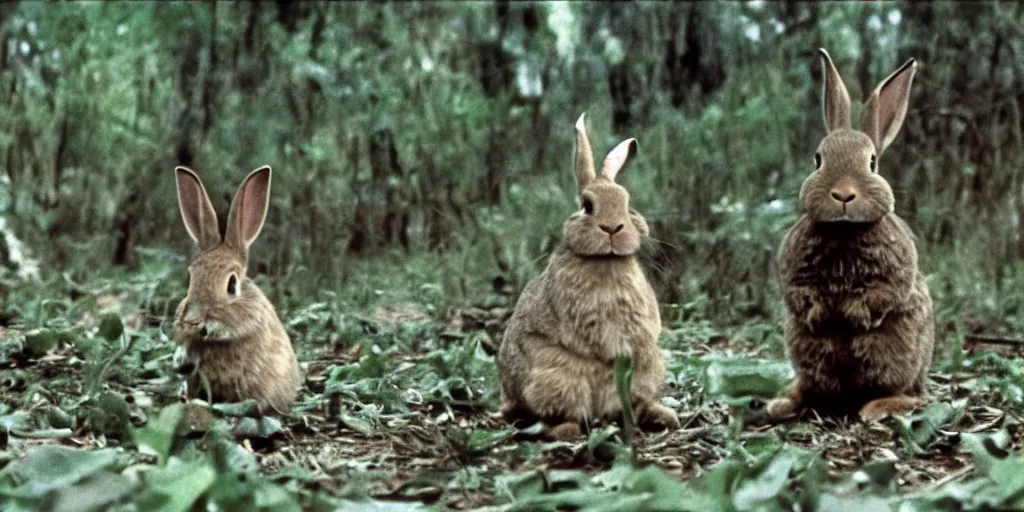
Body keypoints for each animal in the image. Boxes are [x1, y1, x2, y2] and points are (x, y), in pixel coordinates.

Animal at [495, 114, 679, 438]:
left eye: (626, 202)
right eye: (587, 206)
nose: (613, 227)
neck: (605, 261)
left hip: (647, 372)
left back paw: (661, 417)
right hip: (553, 377)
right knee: (564, 412)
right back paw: (565, 431)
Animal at [770, 49, 937, 421]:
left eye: (872, 162)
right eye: (818, 159)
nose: (843, 194)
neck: (844, 230)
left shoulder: (895, 274)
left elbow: (885, 293)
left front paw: (851, 314)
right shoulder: (793, 272)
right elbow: (799, 294)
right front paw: (823, 315)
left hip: (896, 354)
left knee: (911, 394)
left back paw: (877, 407)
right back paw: (782, 404)